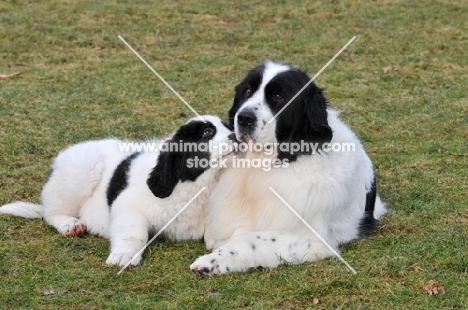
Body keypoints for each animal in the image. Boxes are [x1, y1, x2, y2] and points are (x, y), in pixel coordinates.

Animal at [0, 115, 236, 266]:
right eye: (207, 132)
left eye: (228, 127)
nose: (236, 136)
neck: (197, 183)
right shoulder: (128, 204)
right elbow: (133, 233)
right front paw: (124, 255)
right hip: (82, 166)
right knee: (51, 212)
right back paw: (70, 224)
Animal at [190, 61, 388, 276]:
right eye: (247, 91)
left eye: (279, 97)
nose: (244, 118)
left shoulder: (314, 240)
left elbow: (250, 238)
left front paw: (212, 260)